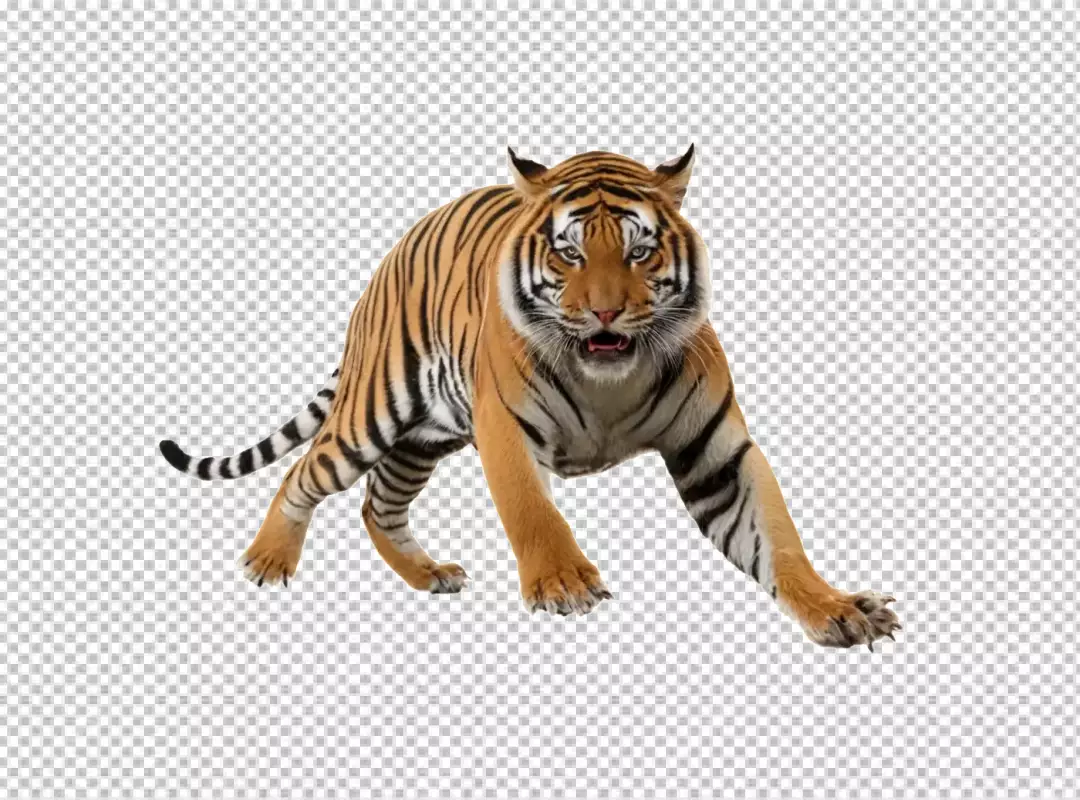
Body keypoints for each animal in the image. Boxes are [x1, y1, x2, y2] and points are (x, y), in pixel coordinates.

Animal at [160, 147, 901, 649]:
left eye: (639, 252)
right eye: (569, 253)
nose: (605, 314)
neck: (611, 379)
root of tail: (394, 250)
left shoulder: (717, 452)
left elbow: (778, 540)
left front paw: (839, 608)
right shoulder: (506, 427)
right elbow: (533, 511)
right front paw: (564, 583)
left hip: (425, 437)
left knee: (378, 504)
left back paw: (427, 574)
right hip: (373, 410)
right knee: (304, 472)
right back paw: (268, 559)